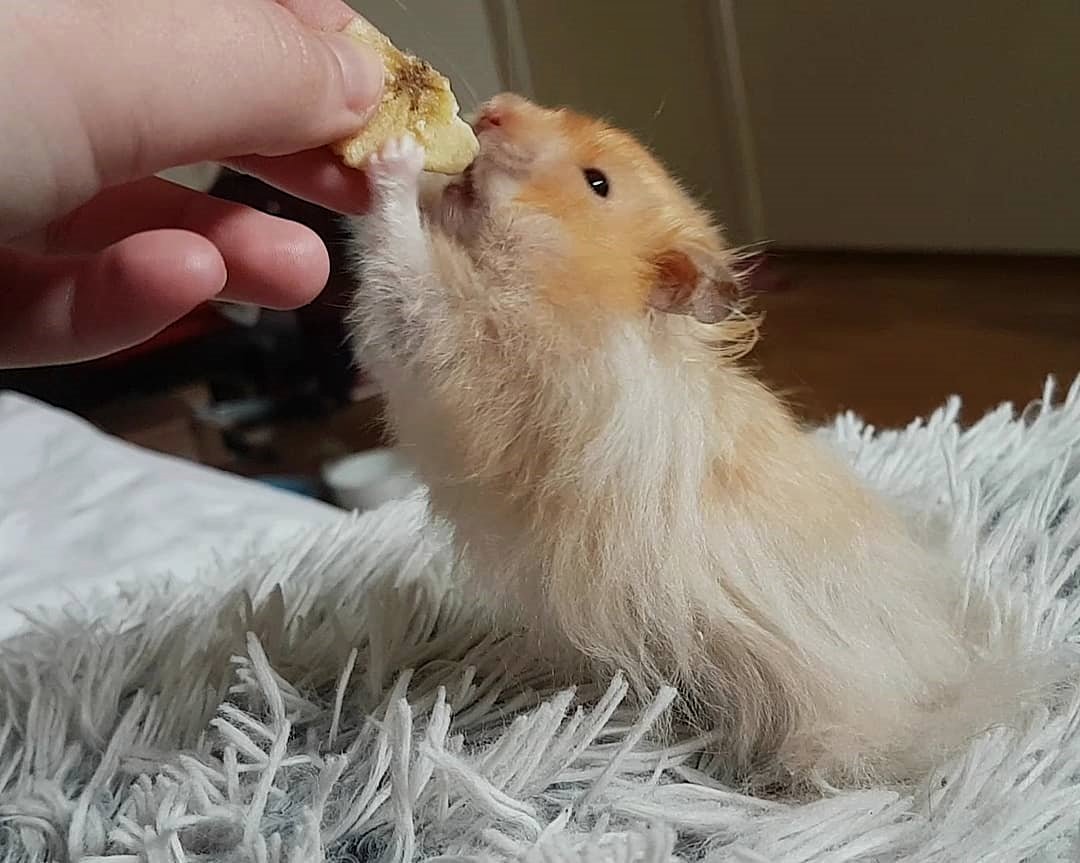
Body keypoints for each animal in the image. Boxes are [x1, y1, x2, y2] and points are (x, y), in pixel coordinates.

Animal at [347, 93, 1066, 788]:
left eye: (597, 182)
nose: (492, 110)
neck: (578, 291)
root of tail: (941, 689)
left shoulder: (477, 360)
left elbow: (407, 277)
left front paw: (393, 157)